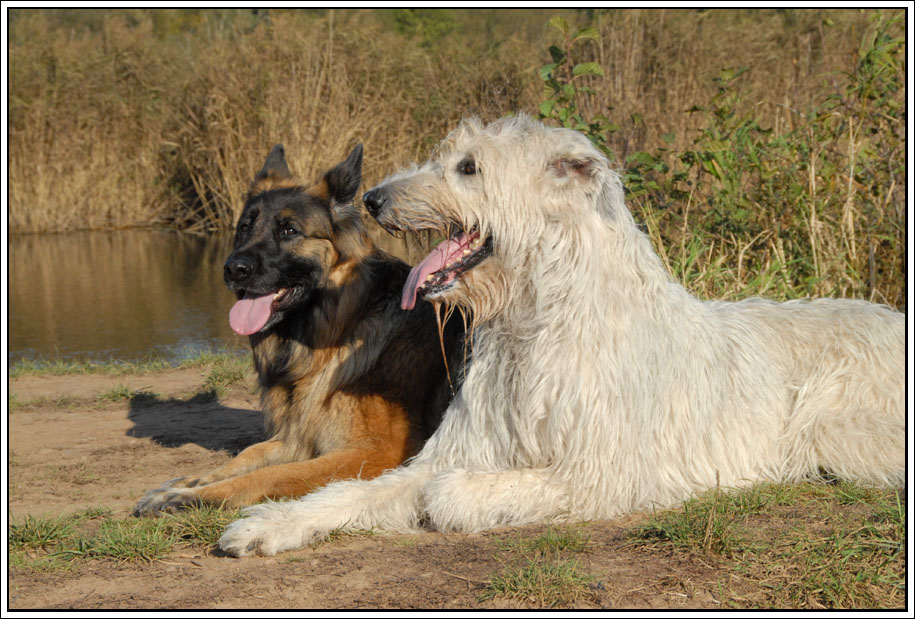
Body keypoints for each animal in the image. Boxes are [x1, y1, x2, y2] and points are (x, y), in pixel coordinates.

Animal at [134, 143, 466, 516]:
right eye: (245, 228)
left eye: (289, 231)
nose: (233, 269)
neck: (341, 329)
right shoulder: (298, 436)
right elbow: (249, 454)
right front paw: (191, 483)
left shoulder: (375, 453)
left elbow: (271, 474)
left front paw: (191, 497)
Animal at [218, 115, 904, 556]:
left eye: (468, 167)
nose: (375, 199)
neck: (538, 320)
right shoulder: (460, 445)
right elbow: (356, 488)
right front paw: (270, 524)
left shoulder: (602, 472)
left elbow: (448, 491)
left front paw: (449, 502)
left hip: (833, 426)